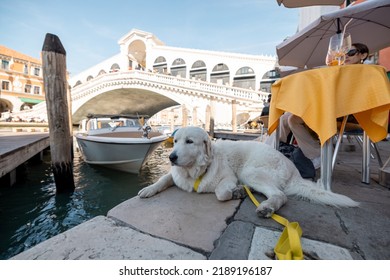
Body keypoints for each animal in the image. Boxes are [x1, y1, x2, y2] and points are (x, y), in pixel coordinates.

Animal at [138, 126, 360, 218]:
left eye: (189, 142)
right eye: (175, 141)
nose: (171, 157)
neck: (194, 171)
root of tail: (293, 170)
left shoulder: (229, 177)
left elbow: (221, 193)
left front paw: (234, 192)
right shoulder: (175, 175)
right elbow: (163, 179)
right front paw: (148, 189)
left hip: (249, 172)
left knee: (280, 195)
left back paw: (266, 207)